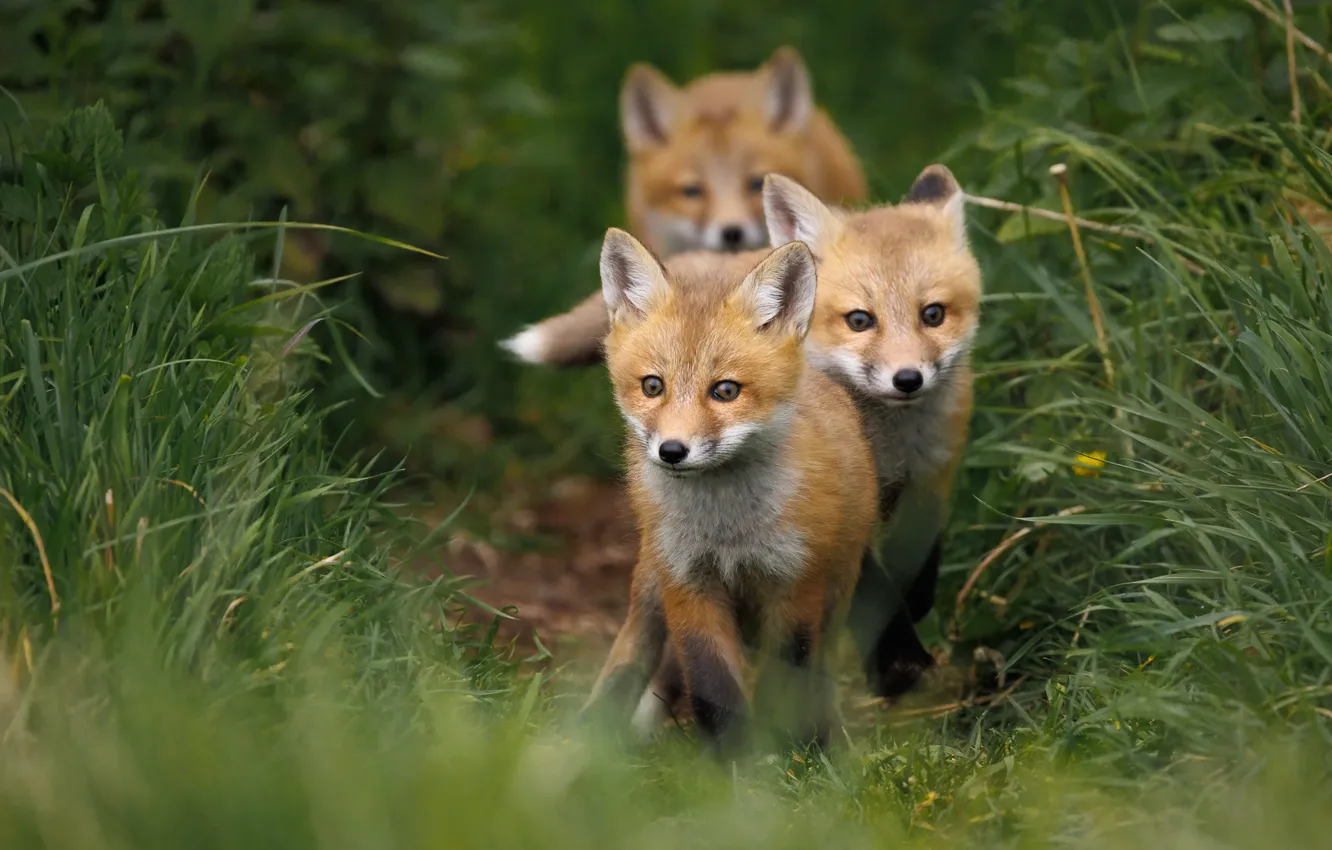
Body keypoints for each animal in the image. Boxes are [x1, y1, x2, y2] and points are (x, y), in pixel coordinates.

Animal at [580, 230, 876, 754]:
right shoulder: (688, 585)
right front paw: (735, 767)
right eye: (652, 386)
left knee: (819, 674)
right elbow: (714, 692)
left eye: (726, 391)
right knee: (633, 658)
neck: (728, 533)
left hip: (836, 594)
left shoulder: (795, 587)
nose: (672, 451)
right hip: (651, 588)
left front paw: (788, 760)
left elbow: (784, 685)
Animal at [760, 165, 981, 699]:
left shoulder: (932, 471)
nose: (908, 379)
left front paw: (916, 598)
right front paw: (900, 659)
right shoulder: (833, 501)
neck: (886, 446)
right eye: (860, 320)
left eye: (933, 314)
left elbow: (920, 543)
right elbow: (873, 584)